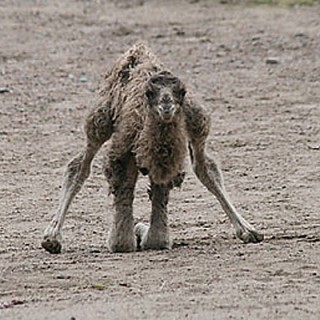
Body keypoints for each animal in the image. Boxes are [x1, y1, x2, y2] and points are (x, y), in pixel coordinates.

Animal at [41, 42, 264, 254]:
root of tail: (138, 51)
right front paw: (135, 231)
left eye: (181, 91)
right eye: (149, 93)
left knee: (204, 168)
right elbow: (123, 239)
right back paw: (52, 238)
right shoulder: (122, 152)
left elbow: (157, 234)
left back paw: (248, 230)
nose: (166, 105)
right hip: (100, 120)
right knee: (79, 166)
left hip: (197, 123)